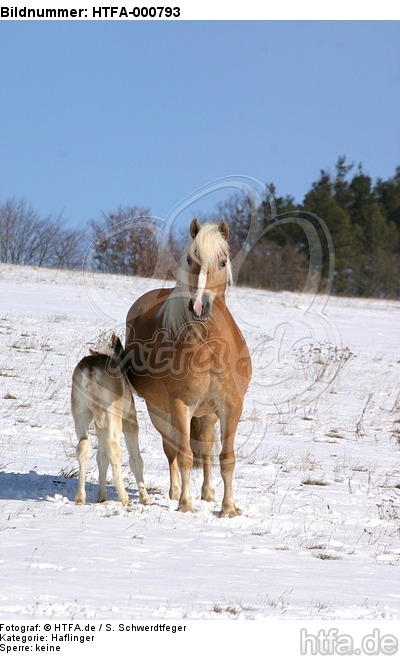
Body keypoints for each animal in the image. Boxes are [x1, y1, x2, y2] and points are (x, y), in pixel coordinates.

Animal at [70, 334, 150, 508]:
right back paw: (124, 497)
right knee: (114, 447)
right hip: (113, 416)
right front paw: (145, 498)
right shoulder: (130, 422)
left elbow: (101, 458)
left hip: (81, 414)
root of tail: (91, 369)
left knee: (83, 446)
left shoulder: (101, 427)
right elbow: (136, 459)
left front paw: (102, 497)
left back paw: (80, 497)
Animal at [126, 218, 250, 516]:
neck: (210, 347)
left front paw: (228, 508)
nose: (198, 306)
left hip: (207, 416)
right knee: (172, 450)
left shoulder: (231, 407)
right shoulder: (181, 405)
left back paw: (208, 493)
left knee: (205, 449)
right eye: (190, 259)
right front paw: (184, 503)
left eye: (222, 262)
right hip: (160, 413)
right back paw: (175, 493)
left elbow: (226, 458)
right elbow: (184, 456)